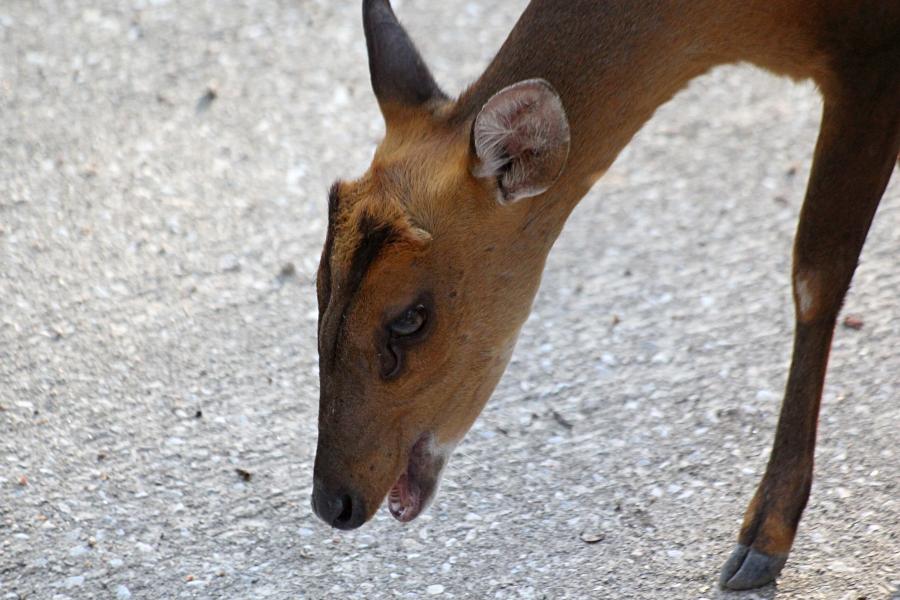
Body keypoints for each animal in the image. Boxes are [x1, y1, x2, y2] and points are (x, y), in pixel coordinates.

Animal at [312, 0, 900, 592]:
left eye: (411, 319)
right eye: (320, 288)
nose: (331, 502)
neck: (755, 28)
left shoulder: (871, 64)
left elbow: (816, 276)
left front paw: (762, 541)